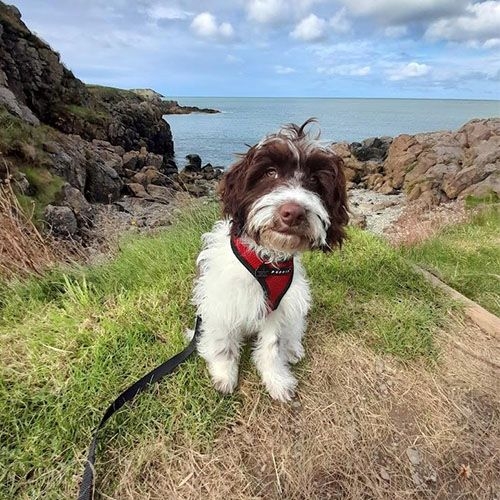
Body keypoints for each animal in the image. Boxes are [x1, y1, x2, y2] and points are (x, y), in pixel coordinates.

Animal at [191, 118, 348, 402]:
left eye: (314, 180)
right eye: (270, 172)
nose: (293, 212)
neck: (266, 263)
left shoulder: (279, 307)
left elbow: (273, 344)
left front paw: (276, 379)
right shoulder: (221, 301)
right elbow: (223, 342)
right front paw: (223, 375)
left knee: (294, 329)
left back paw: (293, 348)